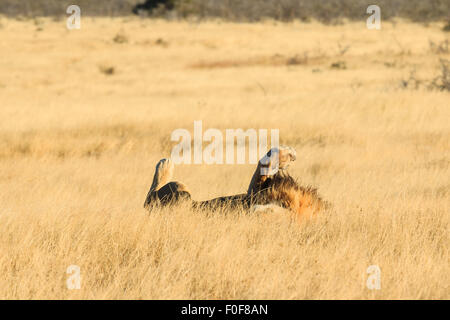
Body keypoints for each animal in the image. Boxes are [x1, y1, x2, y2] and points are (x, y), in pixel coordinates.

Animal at [144, 146, 326, 219]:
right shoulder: (253, 192)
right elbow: (262, 166)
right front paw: (287, 154)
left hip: (179, 195)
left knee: (152, 195)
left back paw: (165, 164)